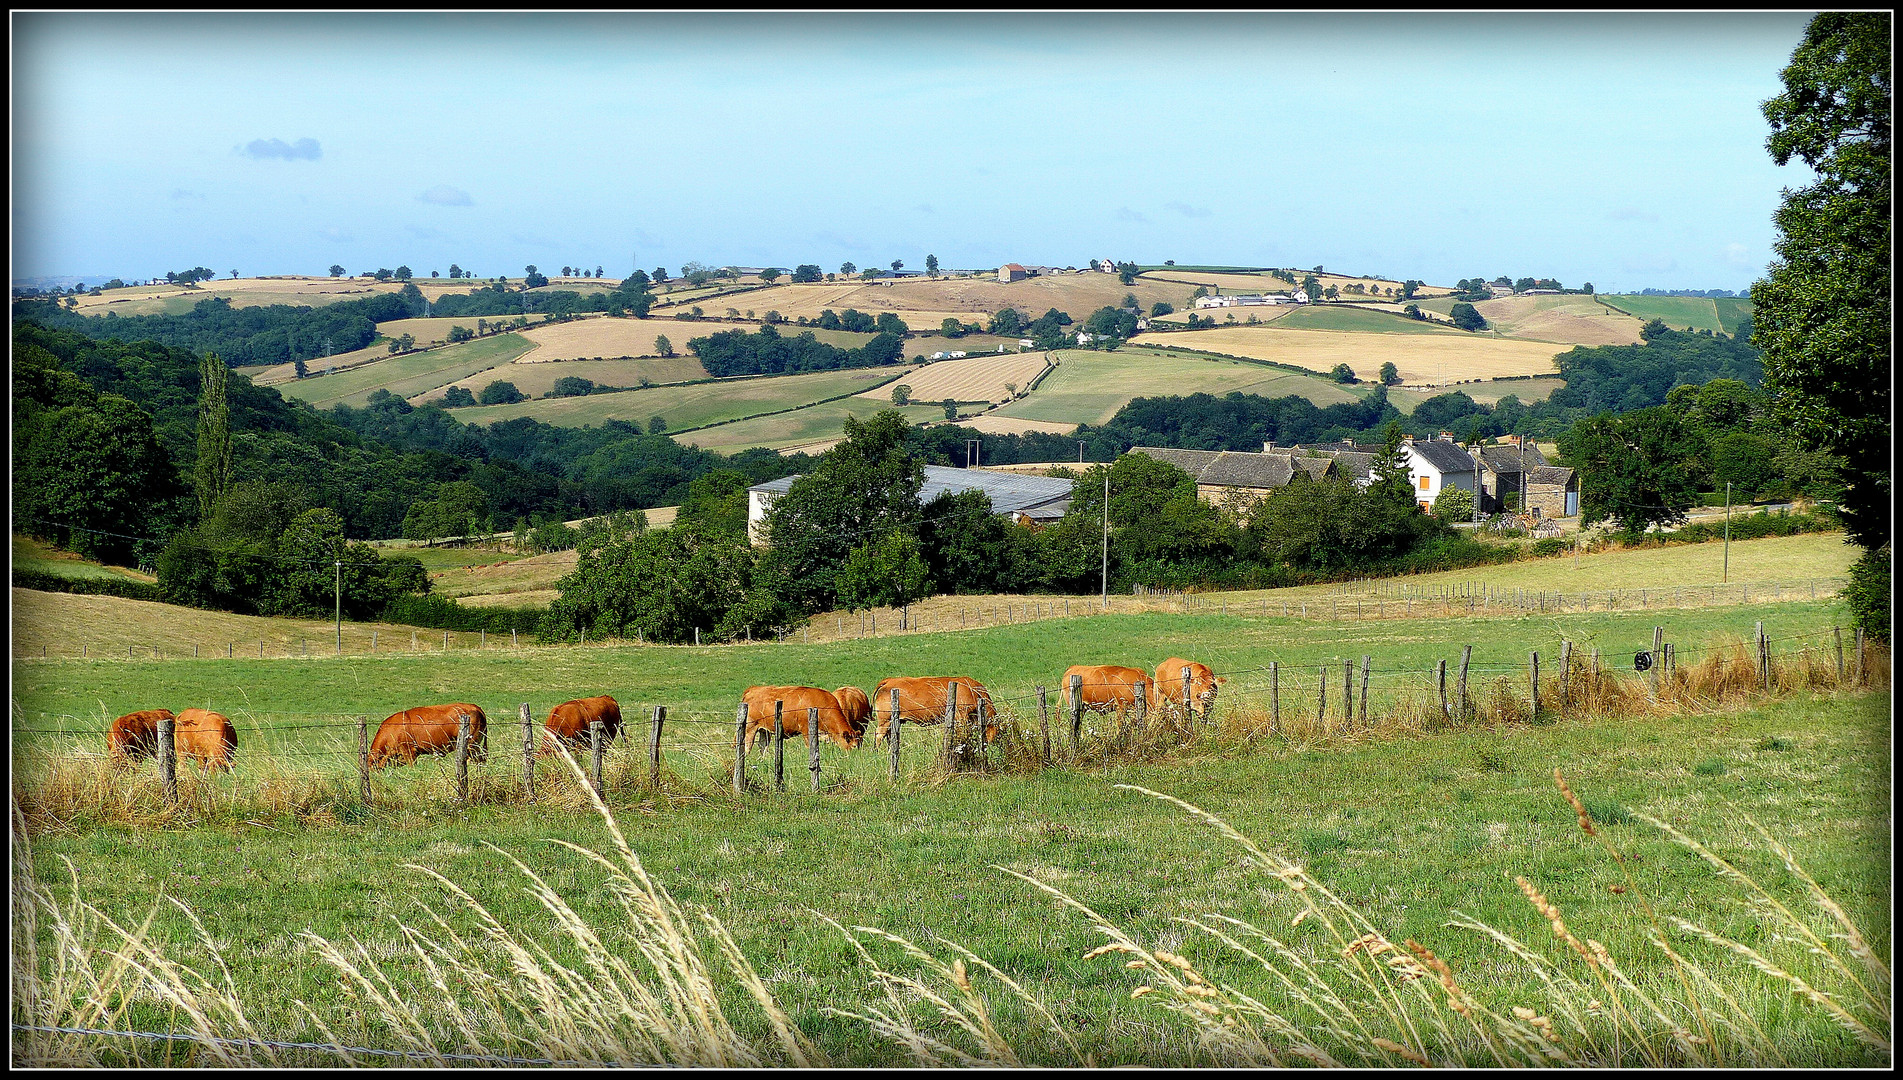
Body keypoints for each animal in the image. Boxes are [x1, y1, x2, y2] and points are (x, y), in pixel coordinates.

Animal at [871, 680, 1004, 745]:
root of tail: (889, 681)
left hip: (893, 721)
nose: (991, 746)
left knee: (889, 735)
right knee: (879, 735)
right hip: (885, 720)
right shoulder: (961, 716)